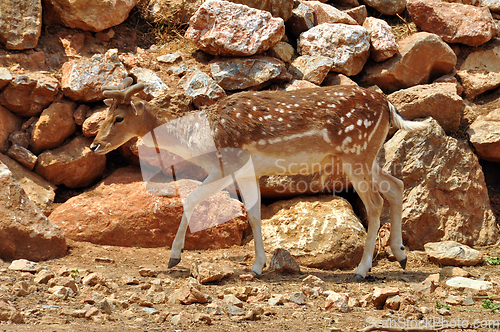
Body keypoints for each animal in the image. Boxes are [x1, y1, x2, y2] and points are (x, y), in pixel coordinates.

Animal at [92, 78, 428, 280]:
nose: (94, 144)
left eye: (118, 118)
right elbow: (253, 213)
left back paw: (362, 269)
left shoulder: (227, 164)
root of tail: (389, 105)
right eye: (104, 116)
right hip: (367, 157)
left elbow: (190, 198)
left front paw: (174, 257)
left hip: (356, 154)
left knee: (374, 202)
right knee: (396, 186)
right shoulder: (247, 170)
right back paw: (401, 255)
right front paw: (256, 267)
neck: (197, 141)